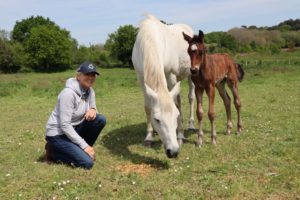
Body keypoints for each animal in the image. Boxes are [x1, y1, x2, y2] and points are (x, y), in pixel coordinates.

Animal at [131, 13, 195, 158]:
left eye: (175, 116)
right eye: (157, 119)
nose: (173, 151)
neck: (148, 40)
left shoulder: (170, 75)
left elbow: (177, 104)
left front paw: (180, 135)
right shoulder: (141, 78)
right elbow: (147, 107)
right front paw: (149, 137)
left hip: (191, 74)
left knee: (191, 97)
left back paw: (190, 125)